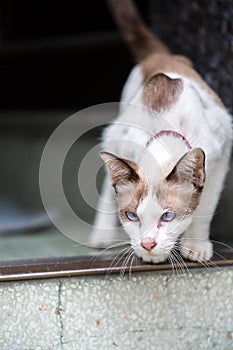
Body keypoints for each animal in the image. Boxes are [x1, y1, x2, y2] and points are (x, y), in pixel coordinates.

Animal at [90, 0, 232, 262]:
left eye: (167, 216)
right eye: (132, 216)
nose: (147, 244)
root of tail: (161, 56)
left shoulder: (221, 154)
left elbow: (205, 206)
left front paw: (195, 245)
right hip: (114, 135)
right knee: (107, 184)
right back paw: (101, 236)